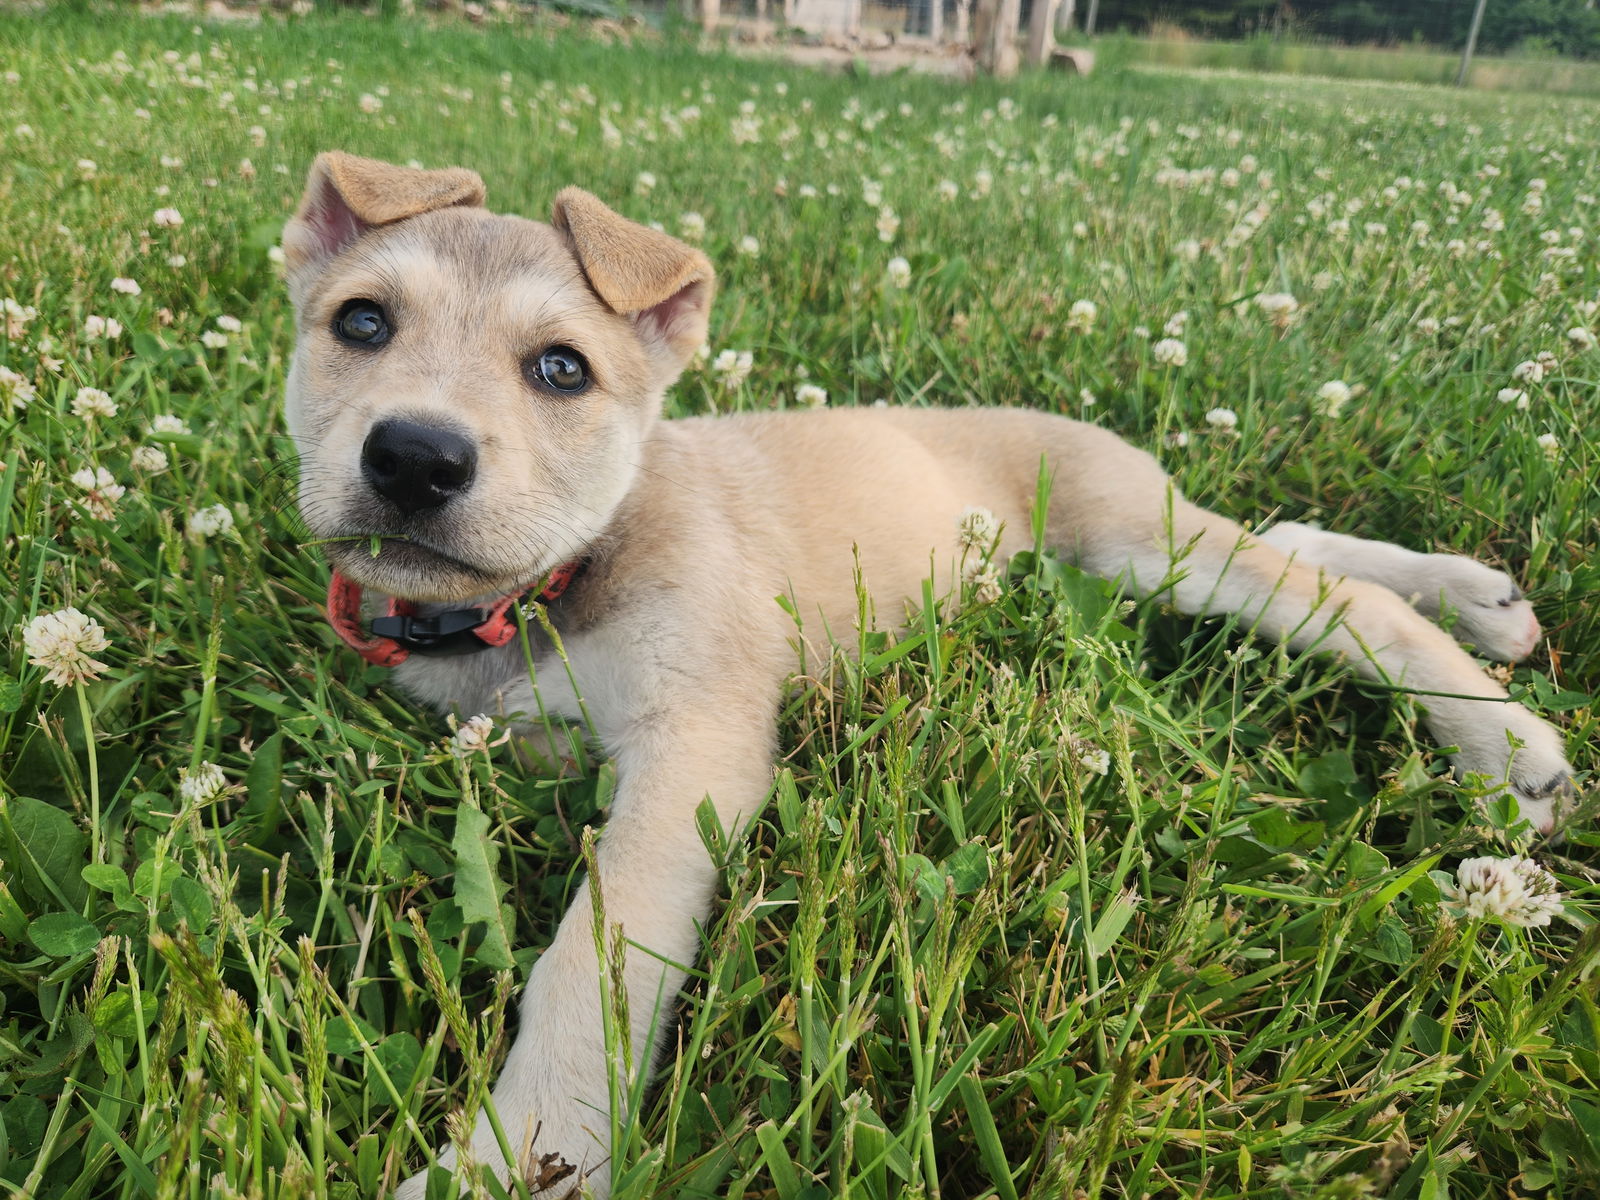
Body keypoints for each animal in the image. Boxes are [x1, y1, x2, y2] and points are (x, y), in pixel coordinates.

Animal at [281, 155, 1568, 1196]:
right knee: (1294, 540)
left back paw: (1503, 743)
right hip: (1161, 552)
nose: (414, 456)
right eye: (361, 322)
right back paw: (1479, 599)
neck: (549, 589)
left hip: (1134, 541)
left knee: (1335, 602)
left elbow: (589, 957)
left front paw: (517, 1157)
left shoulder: (696, 745)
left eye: (561, 369)